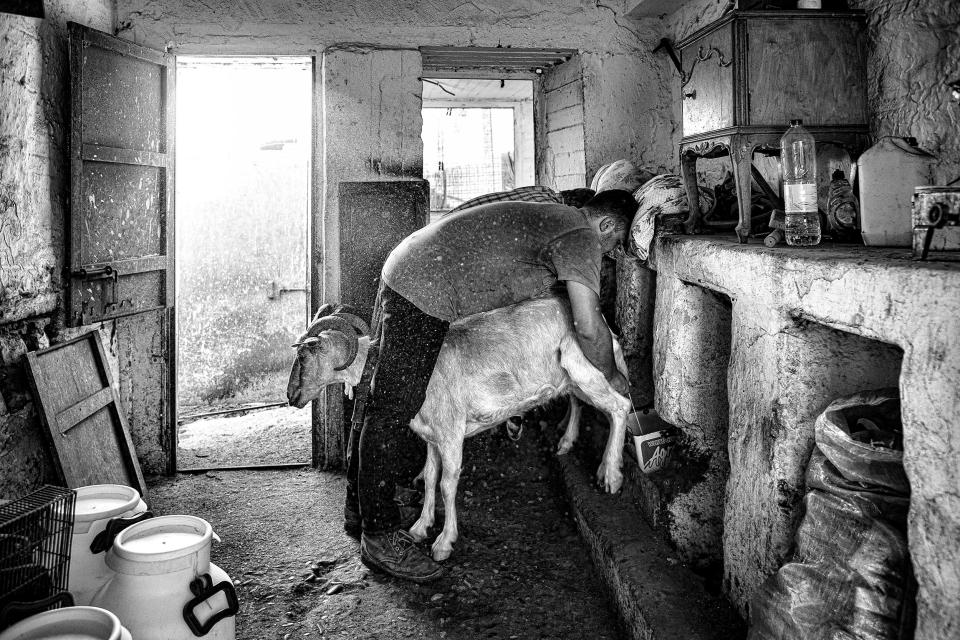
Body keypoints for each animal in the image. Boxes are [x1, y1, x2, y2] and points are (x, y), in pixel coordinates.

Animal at [284, 298, 632, 560]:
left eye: (302, 354)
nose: (291, 397)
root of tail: (602, 319)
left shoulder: (451, 433)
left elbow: (447, 485)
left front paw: (444, 542)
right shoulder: (432, 437)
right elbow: (429, 478)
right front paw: (420, 528)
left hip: (585, 369)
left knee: (620, 406)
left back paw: (611, 475)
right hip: (571, 379)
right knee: (579, 401)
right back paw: (566, 442)